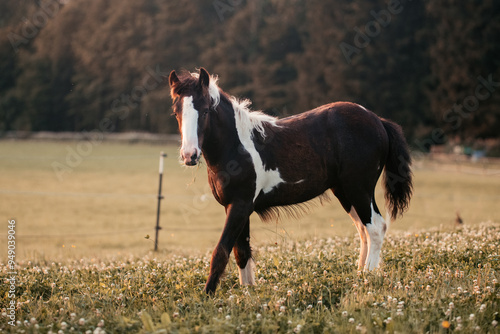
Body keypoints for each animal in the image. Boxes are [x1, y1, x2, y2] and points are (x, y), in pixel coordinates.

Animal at [170, 69, 412, 294]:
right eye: (176, 111)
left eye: (205, 110)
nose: (189, 155)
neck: (237, 147)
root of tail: (378, 120)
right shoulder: (236, 207)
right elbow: (242, 252)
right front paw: (248, 293)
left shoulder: (240, 206)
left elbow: (221, 251)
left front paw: (207, 295)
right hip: (344, 191)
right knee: (363, 229)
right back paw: (359, 273)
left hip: (359, 189)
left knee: (376, 227)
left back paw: (367, 277)